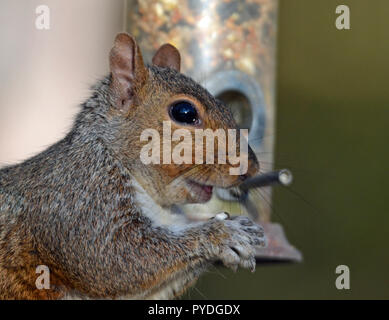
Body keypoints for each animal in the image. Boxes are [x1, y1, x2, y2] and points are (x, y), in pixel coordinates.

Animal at [0, 33, 266, 300]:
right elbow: (117, 257)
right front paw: (223, 233)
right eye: (184, 112)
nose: (250, 168)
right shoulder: (78, 200)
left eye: (226, 107)